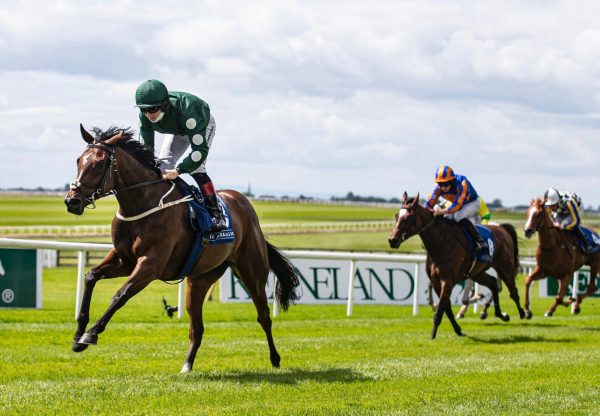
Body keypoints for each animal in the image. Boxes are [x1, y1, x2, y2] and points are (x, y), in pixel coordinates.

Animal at [64, 125, 298, 372]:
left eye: (99, 164)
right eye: (79, 160)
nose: (72, 201)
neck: (142, 203)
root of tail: (243, 203)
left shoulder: (151, 264)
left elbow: (121, 294)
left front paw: (90, 335)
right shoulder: (123, 260)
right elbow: (90, 276)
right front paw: (78, 334)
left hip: (252, 272)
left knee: (263, 316)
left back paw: (275, 359)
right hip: (200, 280)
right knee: (197, 328)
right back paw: (187, 366)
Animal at [386, 193, 524, 340]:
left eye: (408, 217)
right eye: (397, 216)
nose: (392, 240)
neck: (440, 242)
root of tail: (502, 229)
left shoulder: (447, 281)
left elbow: (441, 309)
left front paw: (432, 336)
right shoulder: (436, 282)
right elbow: (446, 308)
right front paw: (458, 330)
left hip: (505, 267)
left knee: (513, 291)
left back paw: (523, 313)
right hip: (477, 273)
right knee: (493, 283)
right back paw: (500, 314)